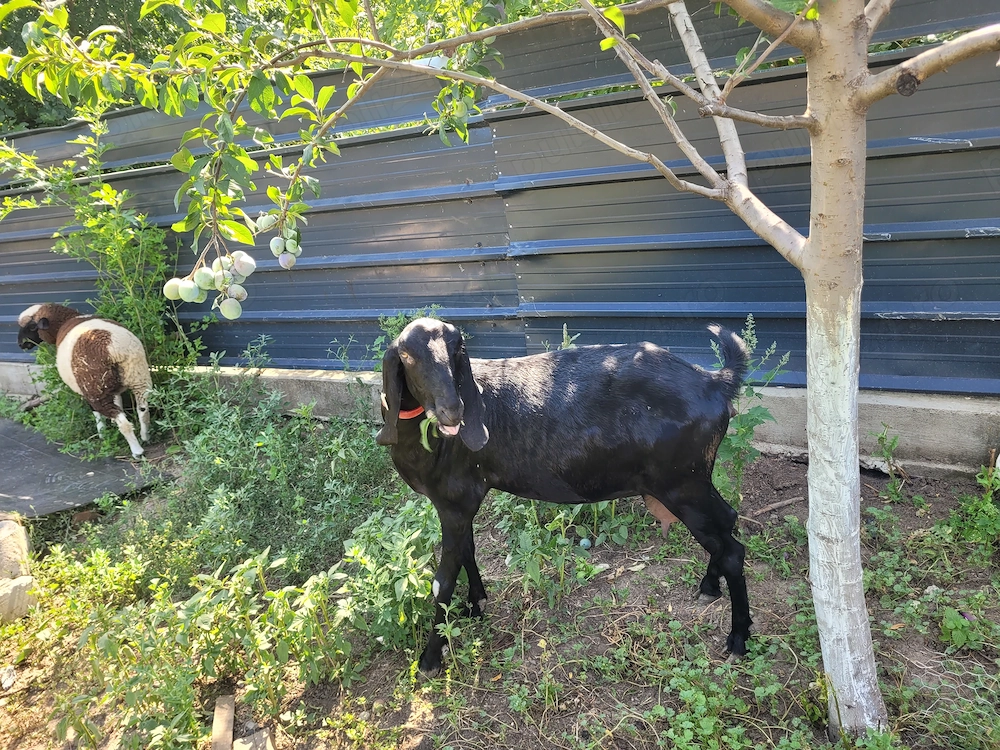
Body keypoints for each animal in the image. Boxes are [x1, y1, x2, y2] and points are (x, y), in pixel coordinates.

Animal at [17, 304, 152, 458]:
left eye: (32, 327)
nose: (20, 344)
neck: (67, 320)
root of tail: (113, 348)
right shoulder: (113, 390)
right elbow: (119, 403)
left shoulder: (86, 391)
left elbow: (96, 414)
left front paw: (102, 434)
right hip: (138, 377)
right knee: (143, 410)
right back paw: (145, 437)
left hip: (95, 389)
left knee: (122, 422)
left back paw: (137, 451)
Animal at [376, 318, 752, 675]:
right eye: (407, 355)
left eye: (458, 349)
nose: (453, 410)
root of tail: (716, 382)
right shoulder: (460, 503)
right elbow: (468, 551)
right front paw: (476, 605)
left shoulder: (454, 499)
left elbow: (442, 582)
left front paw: (429, 660)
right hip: (691, 482)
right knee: (726, 524)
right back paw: (709, 586)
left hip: (683, 484)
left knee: (732, 548)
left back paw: (738, 638)